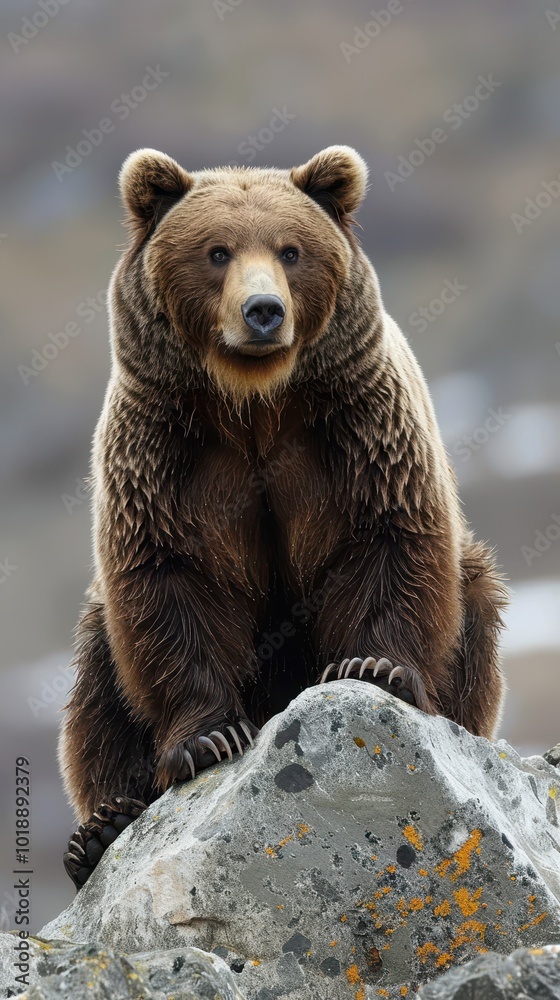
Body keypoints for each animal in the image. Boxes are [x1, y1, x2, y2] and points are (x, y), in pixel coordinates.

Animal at [59, 145, 508, 888]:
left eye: (291, 250)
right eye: (216, 251)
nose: (263, 310)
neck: (256, 404)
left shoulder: (358, 429)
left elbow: (389, 543)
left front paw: (374, 668)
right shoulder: (163, 453)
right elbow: (168, 585)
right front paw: (209, 739)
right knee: (98, 683)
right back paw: (100, 828)